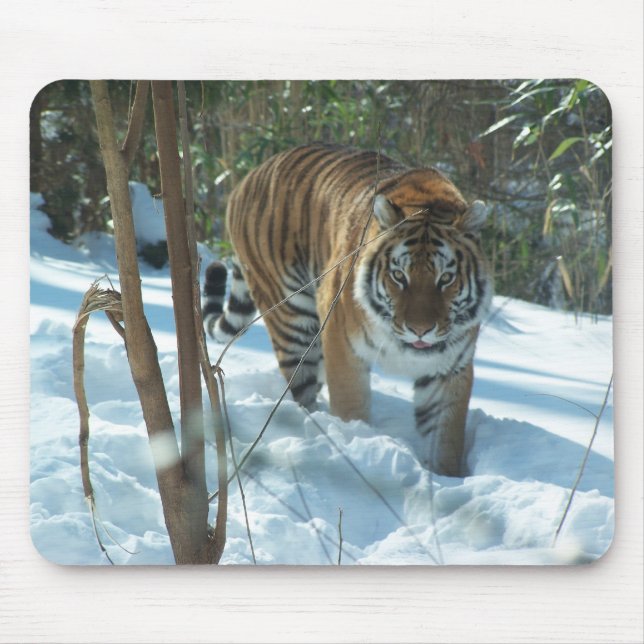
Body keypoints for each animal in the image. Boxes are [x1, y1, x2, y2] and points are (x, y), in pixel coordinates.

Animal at [202, 143, 492, 476]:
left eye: (446, 279)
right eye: (399, 276)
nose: (419, 330)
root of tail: (248, 177)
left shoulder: (450, 368)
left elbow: (445, 440)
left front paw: (445, 478)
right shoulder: (343, 345)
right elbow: (351, 405)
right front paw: (360, 448)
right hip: (293, 319)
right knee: (302, 388)